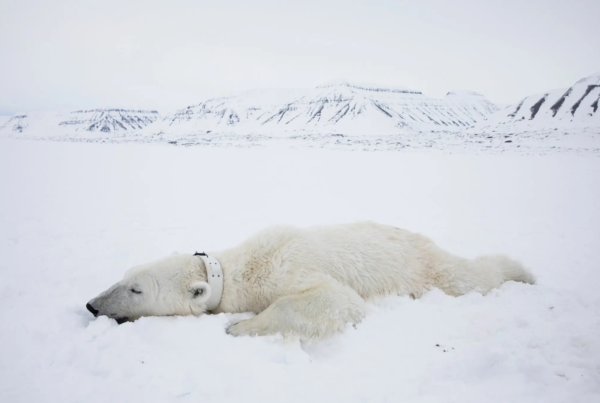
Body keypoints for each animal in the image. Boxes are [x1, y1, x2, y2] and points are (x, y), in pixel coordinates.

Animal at [85, 223, 536, 340]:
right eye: (124, 277)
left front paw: (239, 326)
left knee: (469, 276)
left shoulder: (287, 268)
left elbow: (336, 300)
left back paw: (523, 272)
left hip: (423, 267)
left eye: (136, 289)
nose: (92, 305)